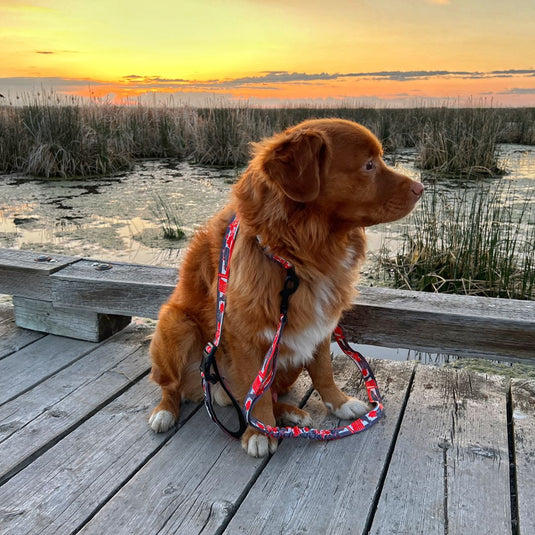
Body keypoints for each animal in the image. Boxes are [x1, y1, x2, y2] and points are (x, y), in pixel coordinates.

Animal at [148, 119, 422, 458]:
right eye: (369, 165)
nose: (420, 189)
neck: (297, 257)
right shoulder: (247, 337)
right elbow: (258, 393)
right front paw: (259, 431)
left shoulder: (319, 324)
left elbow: (323, 371)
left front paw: (340, 403)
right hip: (176, 323)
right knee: (173, 386)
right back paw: (166, 411)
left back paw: (289, 413)